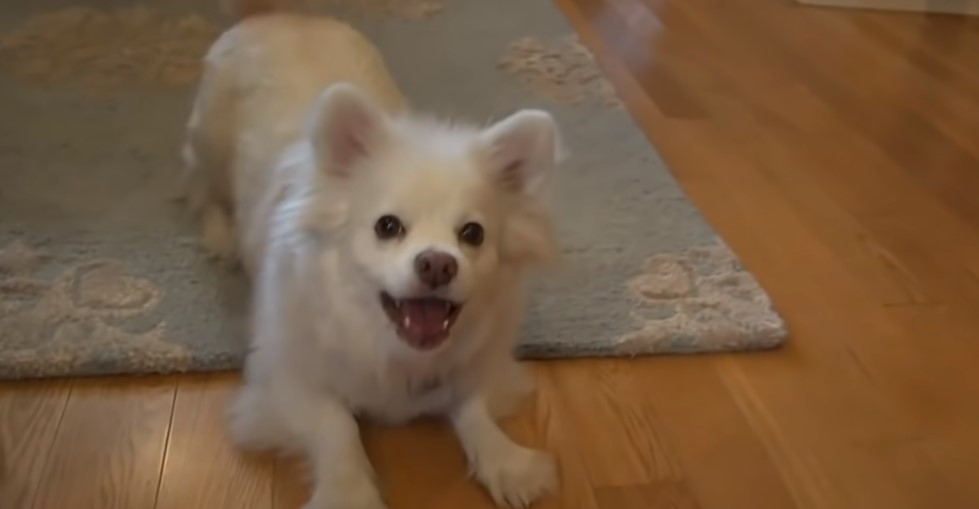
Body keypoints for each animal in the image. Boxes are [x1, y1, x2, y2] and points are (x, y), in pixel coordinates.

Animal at [182, 0, 568, 508]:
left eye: (473, 234)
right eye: (387, 227)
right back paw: (220, 235)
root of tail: (282, 16)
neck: (391, 348)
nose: (437, 262)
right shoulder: (286, 379)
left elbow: (471, 404)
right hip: (207, 145)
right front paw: (348, 492)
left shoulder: (473, 366)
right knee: (202, 191)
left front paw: (506, 462)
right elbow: (337, 426)